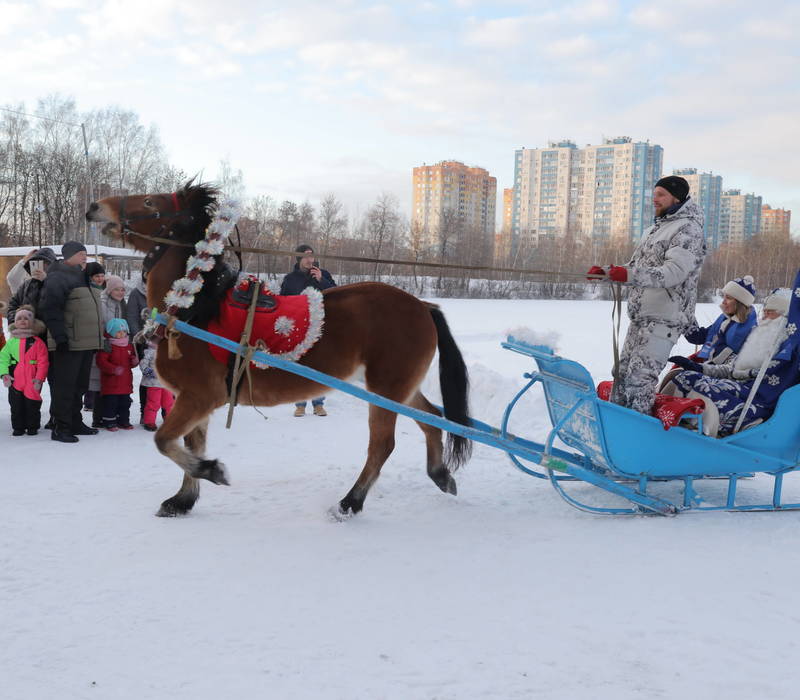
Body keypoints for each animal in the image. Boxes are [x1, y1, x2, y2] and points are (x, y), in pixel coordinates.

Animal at [89, 182, 468, 516]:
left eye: (150, 201)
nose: (95, 206)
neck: (195, 310)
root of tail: (423, 305)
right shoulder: (193, 399)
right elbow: (190, 444)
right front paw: (183, 500)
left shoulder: (199, 396)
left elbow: (165, 442)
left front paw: (212, 471)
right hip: (398, 388)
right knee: (432, 419)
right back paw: (440, 474)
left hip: (386, 390)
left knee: (382, 446)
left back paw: (351, 502)